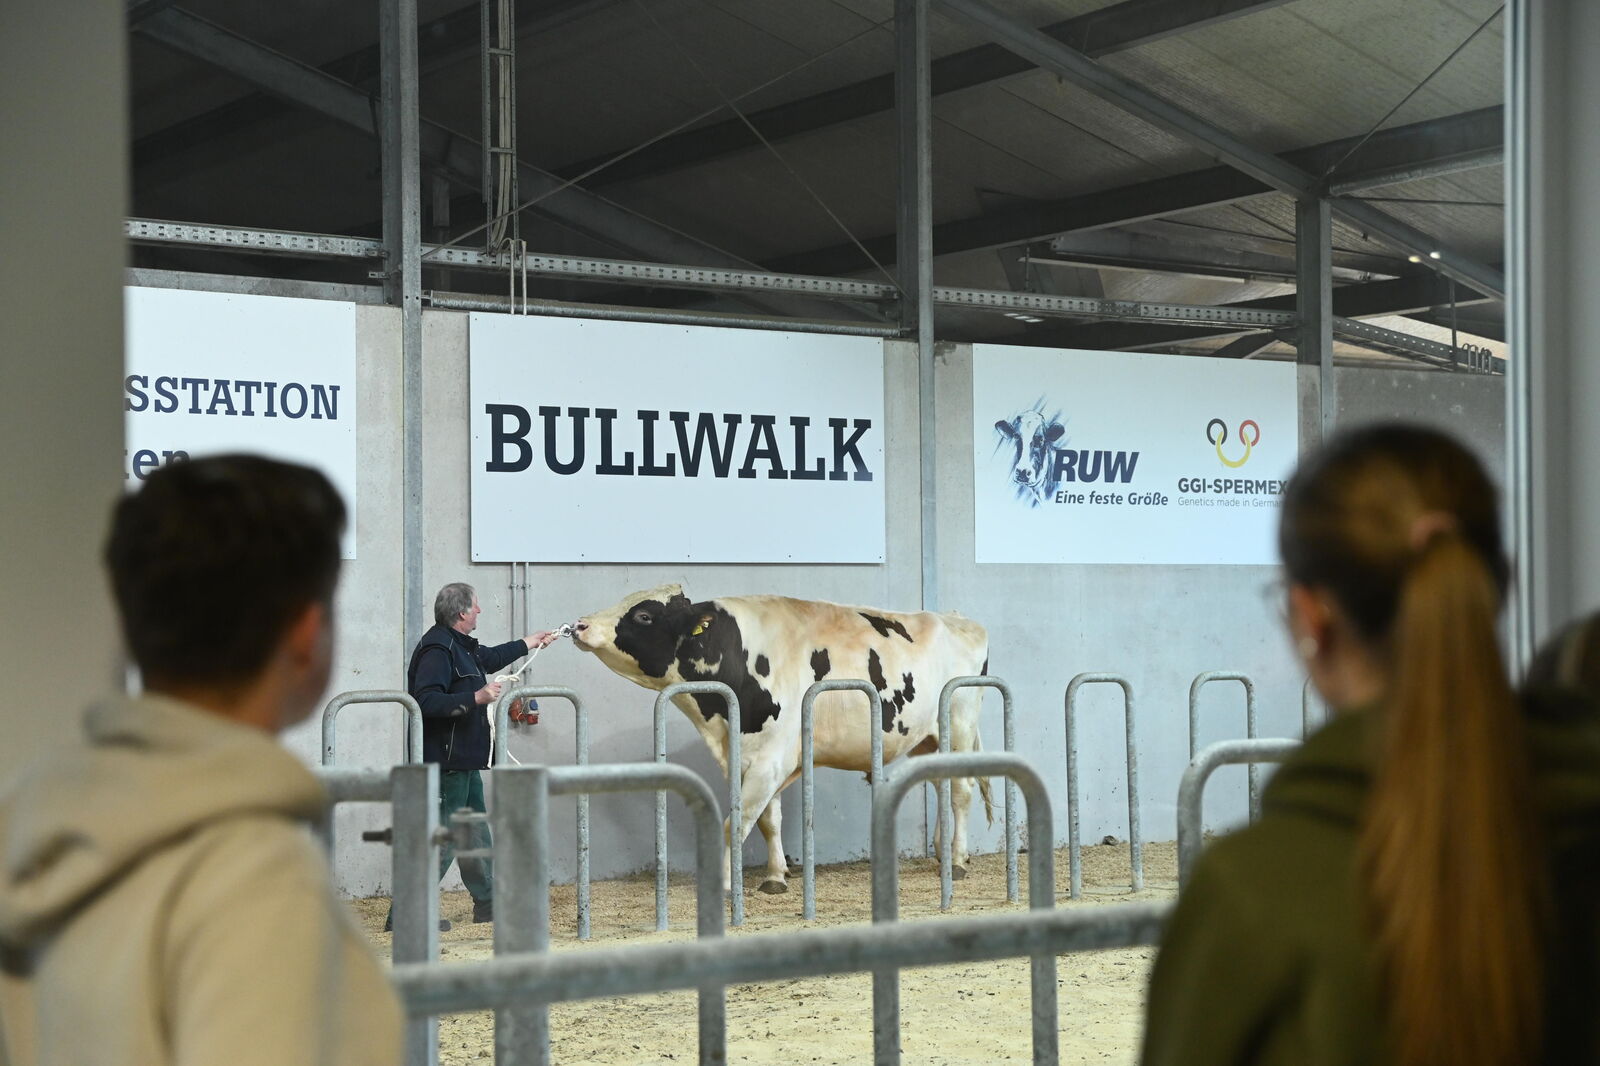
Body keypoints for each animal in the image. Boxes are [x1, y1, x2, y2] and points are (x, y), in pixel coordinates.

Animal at [569, 582, 992, 889]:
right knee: (942, 784)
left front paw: (727, 883)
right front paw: (775, 876)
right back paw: (943, 850)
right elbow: (768, 819)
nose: (580, 625)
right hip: (927, 738)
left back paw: (957, 860)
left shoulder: (770, 759)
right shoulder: (748, 755)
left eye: (643, 615)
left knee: (961, 790)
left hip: (959, 721)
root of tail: (958, 619)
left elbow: (737, 822)